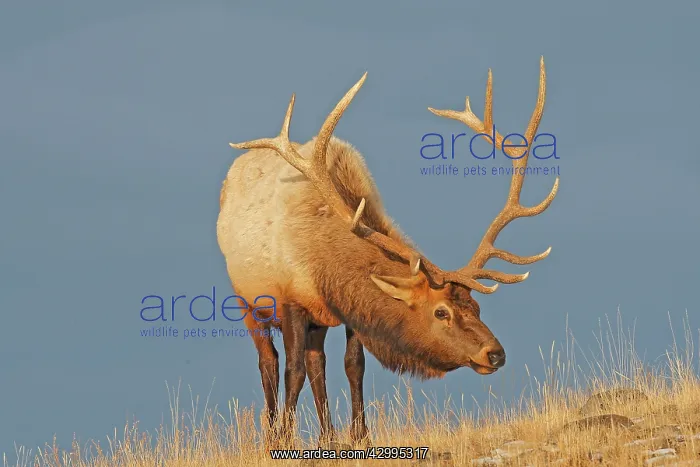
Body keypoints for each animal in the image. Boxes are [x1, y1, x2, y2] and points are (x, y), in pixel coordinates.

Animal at [217, 57, 558, 447]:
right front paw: (285, 441)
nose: (496, 353)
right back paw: (274, 434)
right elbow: (292, 370)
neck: (324, 263)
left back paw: (327, 437)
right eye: (441, 312)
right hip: (246, 301)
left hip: (317, 321)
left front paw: (360, 437)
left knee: (318, 363)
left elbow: (353, 366)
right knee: (269, 362)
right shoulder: (290, 299)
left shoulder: (348, 310)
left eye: (476, 306)